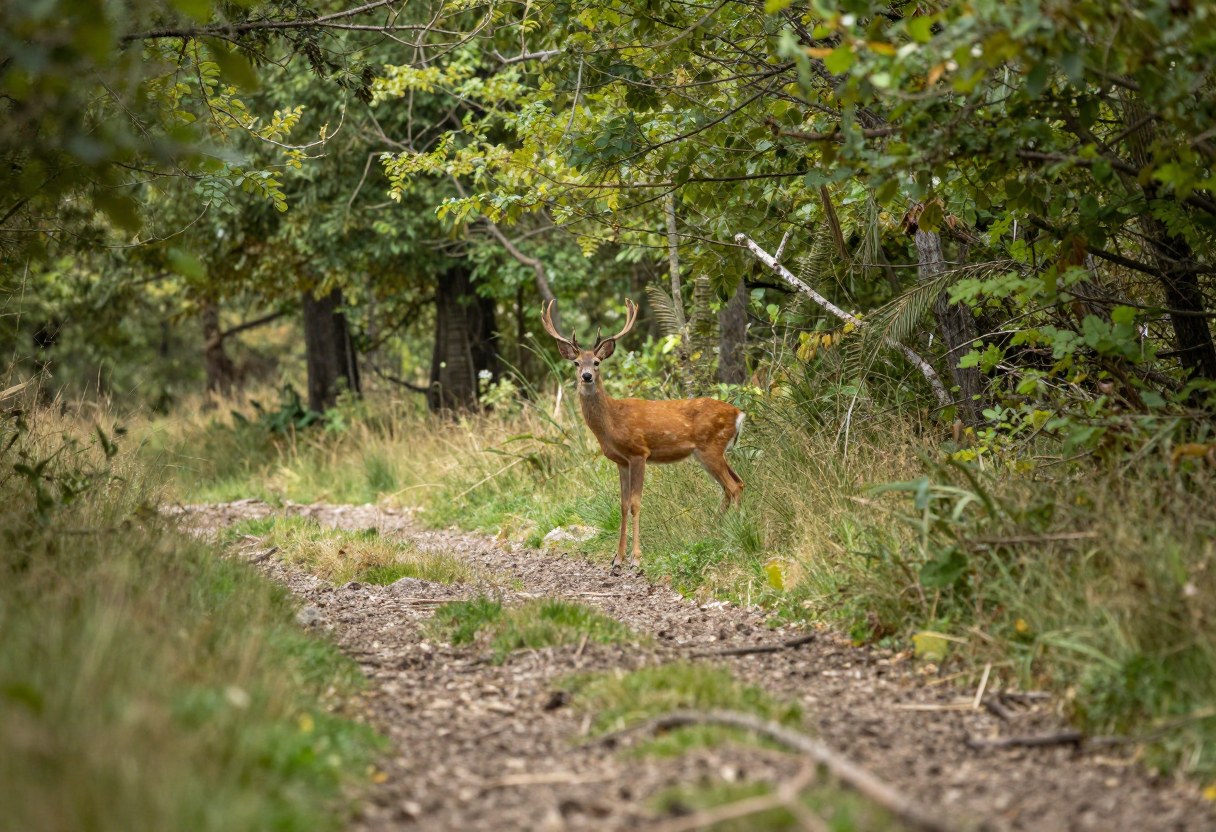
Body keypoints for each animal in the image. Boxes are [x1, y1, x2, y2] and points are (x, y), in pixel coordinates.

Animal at [541, 298, 745, 572]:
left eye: (596, 362)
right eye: (576, 363)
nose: (586, 376)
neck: (612, 421)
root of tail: (738, 413)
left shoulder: (639, 452)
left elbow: (635, 503)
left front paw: (636, 558)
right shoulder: (621, 461)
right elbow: (623, 504)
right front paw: (617, 558)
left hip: (711, 448)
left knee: (732, 486)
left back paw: (735, 530)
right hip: (710, 453)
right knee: (736, 484)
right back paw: (714, 529)